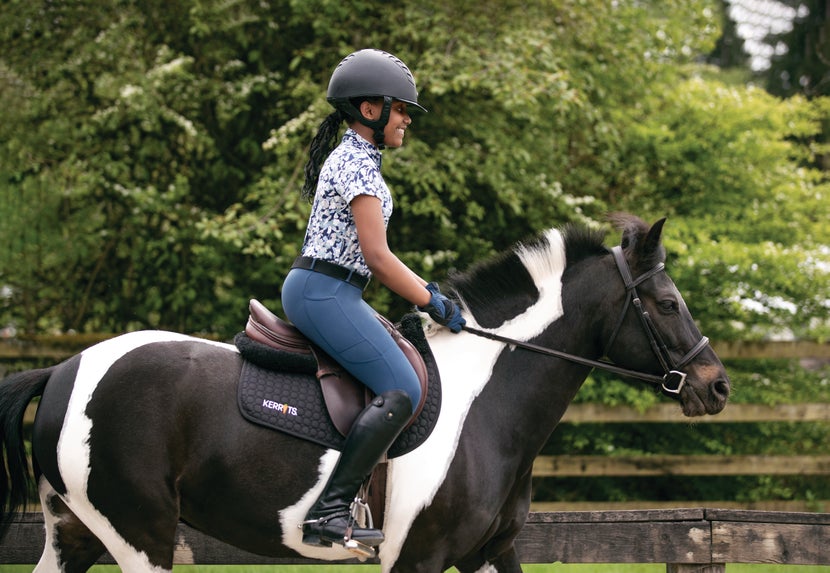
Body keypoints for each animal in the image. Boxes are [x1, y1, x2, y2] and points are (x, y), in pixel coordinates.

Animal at [0, 214, 728, 572]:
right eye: (667, 304)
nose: (715, 385)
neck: (486, 404)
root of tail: (64, 368)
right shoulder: (419, 558)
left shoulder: (486, 555)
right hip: (139, 534)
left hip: (77, 534)